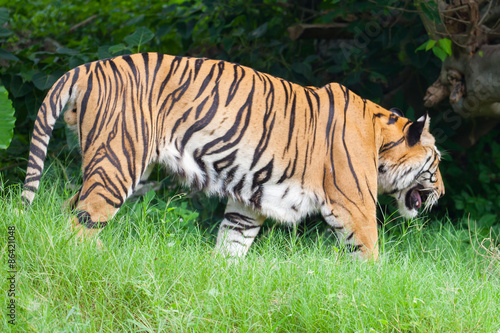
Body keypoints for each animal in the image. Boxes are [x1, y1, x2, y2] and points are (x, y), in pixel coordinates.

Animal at [20, 52, 446, 260]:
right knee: (82, 222)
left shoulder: (250, 202)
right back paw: (99, 261)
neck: (379, 139)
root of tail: (89, 67)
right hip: (118, 162)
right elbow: (371, 255)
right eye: (437, 162)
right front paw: (375, 288)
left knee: (66, 209)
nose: (442, 192)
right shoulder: (354, 206)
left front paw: (218, 282)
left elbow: (232, 245)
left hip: (126, 169)